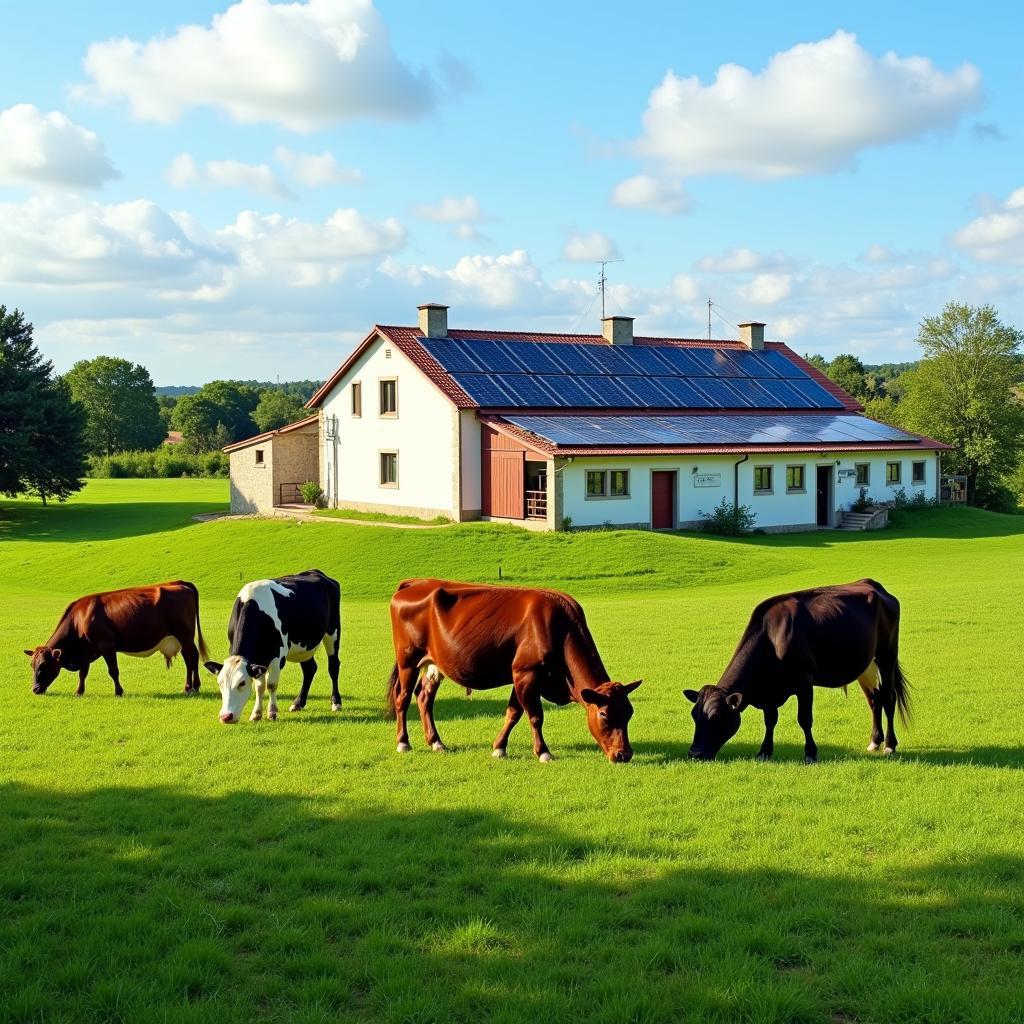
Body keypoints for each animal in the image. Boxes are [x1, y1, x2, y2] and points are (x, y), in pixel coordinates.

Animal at [24, 585, 209, 696]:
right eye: (32, 665)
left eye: (44, 665)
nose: (35, 689)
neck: (81, 618)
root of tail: (181, 584)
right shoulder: (86, 651)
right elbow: (83, 673)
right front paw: (79, 691)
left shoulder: (107, 646)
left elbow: (113, 671)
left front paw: (119, 691)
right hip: (181, 638)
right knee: (189, 657)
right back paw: (191, 686)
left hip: (185, 635)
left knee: (192, 657)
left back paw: (192, 687)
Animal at [201, 569, 342, 729]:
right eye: (220, 683)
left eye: (242, 683)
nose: (226, 716)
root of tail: (317, 572)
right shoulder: (258, 660)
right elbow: (259, 686)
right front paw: (256, 714)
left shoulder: (276, 656)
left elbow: (271, 684)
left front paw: (272, 712)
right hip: (303, 647)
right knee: (310, 669)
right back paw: (298, 703)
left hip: (333, 631)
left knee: (333, 666)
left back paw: (336, 702)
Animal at [387, 577, 643, 761]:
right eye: (604, 714)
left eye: (629, 712)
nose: (624, 754)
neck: (560, 629)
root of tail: (416, 583)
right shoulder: (526, 673)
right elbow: (535, 716)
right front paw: (543, 752)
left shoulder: (522, 676)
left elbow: (514, 712)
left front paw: (499, 747)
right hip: (408, 659)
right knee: (403, 697)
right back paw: (403, 742)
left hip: (434, 664)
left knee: (424, 697)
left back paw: (436, 742)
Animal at [684, 577, 909, 761]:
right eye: (694, 715)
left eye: (716, 716)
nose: (695, 753)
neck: (772, 639)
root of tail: (875, 585)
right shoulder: (769, 690)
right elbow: (770, 720)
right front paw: (764, 751)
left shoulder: (804, 682)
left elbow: (804, 719)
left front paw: (810, 752)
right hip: (866, 665)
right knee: (875, 700)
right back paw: (875, 741)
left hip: (887, 655)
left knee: (888, 699)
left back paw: (889, 745)